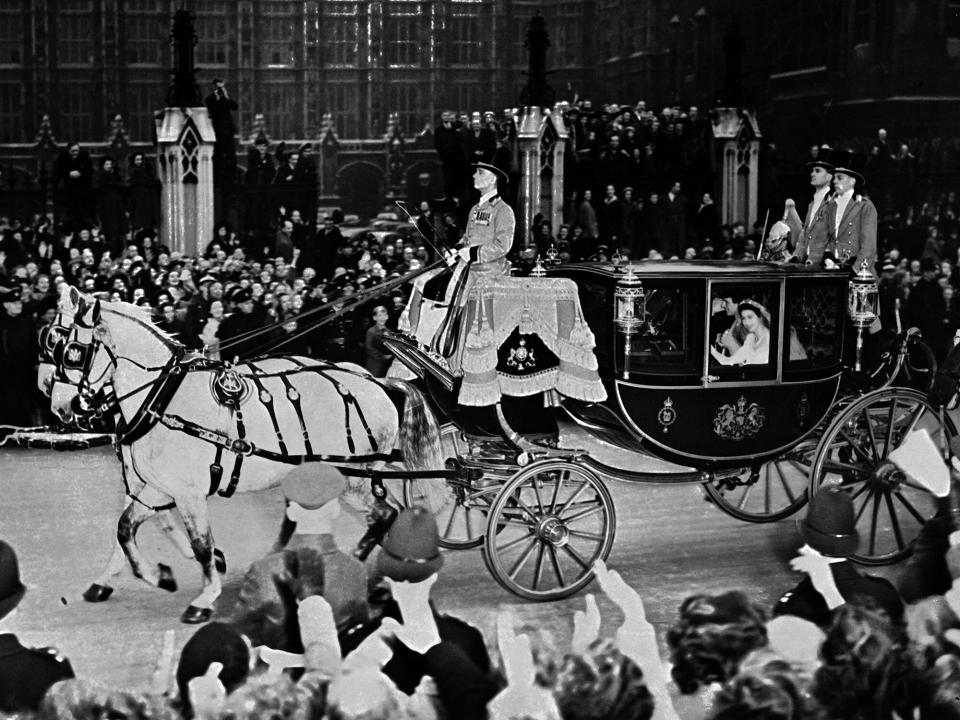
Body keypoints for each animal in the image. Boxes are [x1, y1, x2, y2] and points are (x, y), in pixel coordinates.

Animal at [47, 286, 444, 624]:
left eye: (71, 351)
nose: (61, 408)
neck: (163, 398)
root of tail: (377, 382)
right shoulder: (159, 488)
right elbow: (125, 528)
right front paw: (151, 575)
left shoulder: (188, 493)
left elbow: (201, 545)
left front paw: (204, 597)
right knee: (379, 516)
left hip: (350, 478)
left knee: (384, 515)